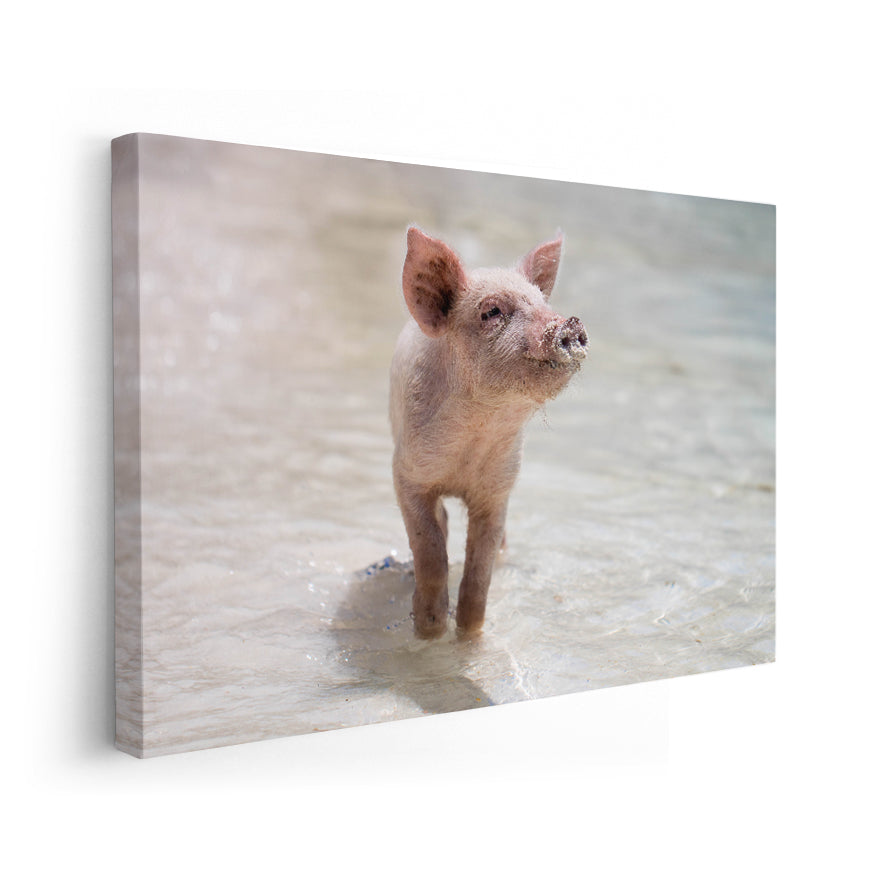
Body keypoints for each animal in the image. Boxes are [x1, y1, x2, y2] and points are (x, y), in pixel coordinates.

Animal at [390, 227, 588, 638]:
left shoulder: (498, 489)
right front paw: (430, 630)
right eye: (492, 312)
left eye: (541, 302)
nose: (571, 324)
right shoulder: (406, 473)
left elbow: (480, 569)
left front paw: (469, 634)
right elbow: (429, 549)